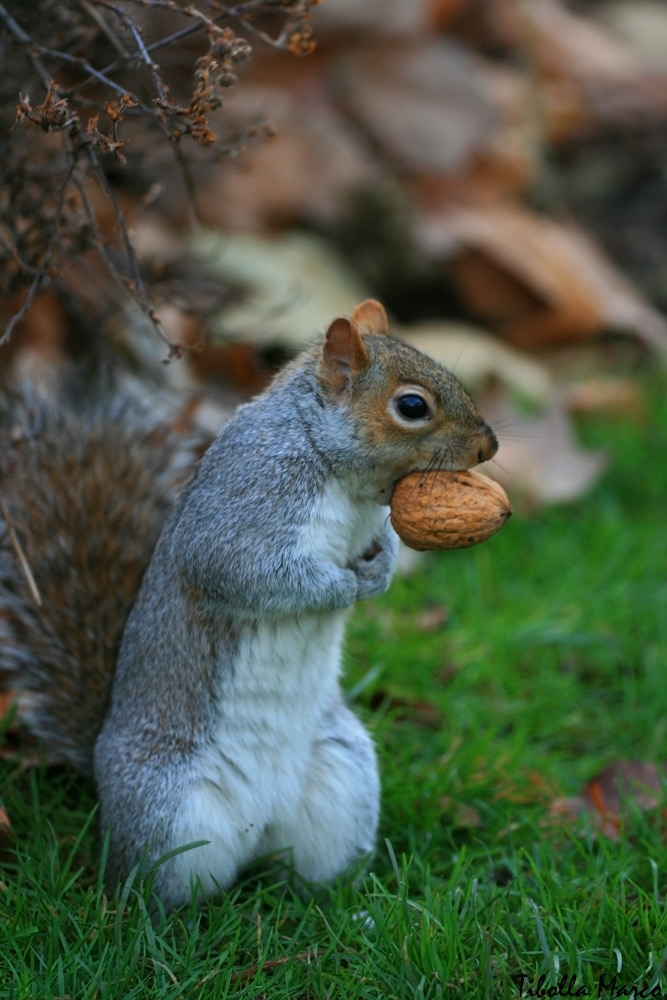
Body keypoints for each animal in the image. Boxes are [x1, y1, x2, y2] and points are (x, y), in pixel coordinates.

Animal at [0, 300, 498, 912]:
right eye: (412, 406)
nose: (490, 447)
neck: (340, 474)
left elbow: (386, 542)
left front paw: (379, 572)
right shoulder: (245, 502)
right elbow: (244, 570)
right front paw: (340, 587)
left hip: (344, 779)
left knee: (309, 871)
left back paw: (346, 907)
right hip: (168, 813)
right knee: (159, 890)